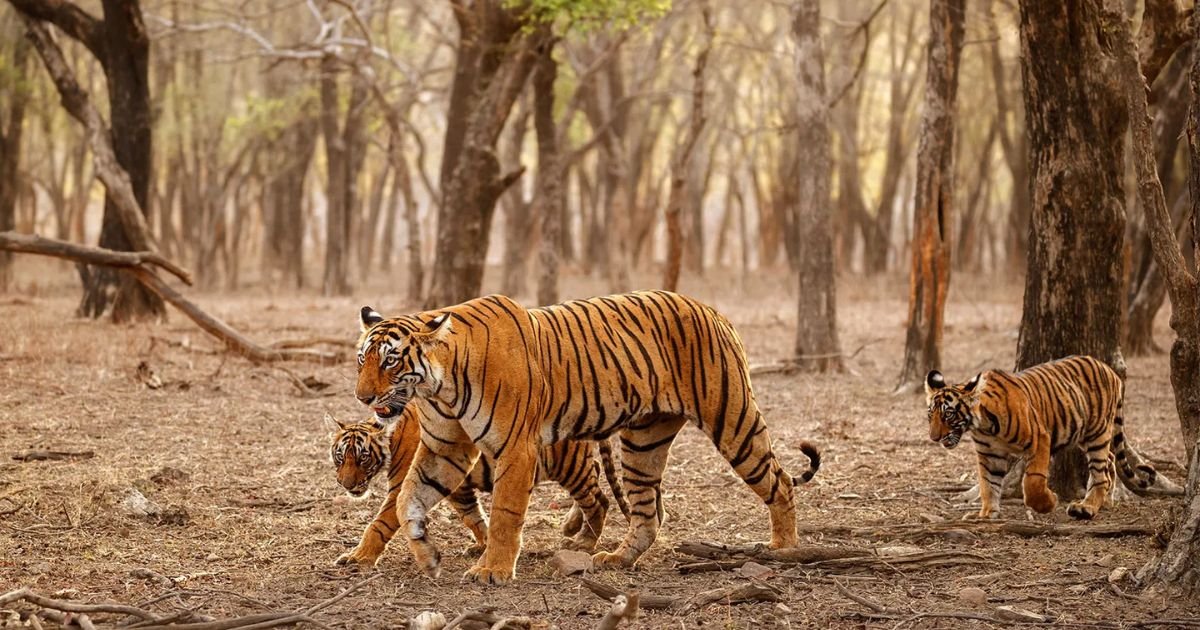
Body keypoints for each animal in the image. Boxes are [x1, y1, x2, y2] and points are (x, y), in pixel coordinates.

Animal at [326, 408, 630, 568]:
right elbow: (473, 516)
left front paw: (357, 557)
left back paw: (584, 542)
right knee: (595, 479)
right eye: (341, 456)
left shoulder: (401, 488)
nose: (345, 484)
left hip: (569, 465)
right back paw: (572, 527)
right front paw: (484, 545)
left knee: (599, 500)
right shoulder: (456, 486)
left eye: (363, 458)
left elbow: (378, 525)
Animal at [925, 355, 1182, 521]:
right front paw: (986, 514)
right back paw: (1106, 501)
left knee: (1101, 471)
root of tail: (1111, 371)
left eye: (948, 414)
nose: (934, 438)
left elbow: (1033, 481)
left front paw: (1049, 503)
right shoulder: (989, 454)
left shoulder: (1039, 438)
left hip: (1097, 432)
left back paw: (1087, 507)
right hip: (1086, 434)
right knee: (1109, 460)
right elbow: (988, 484)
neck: (982, 424)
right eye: (930, 415)